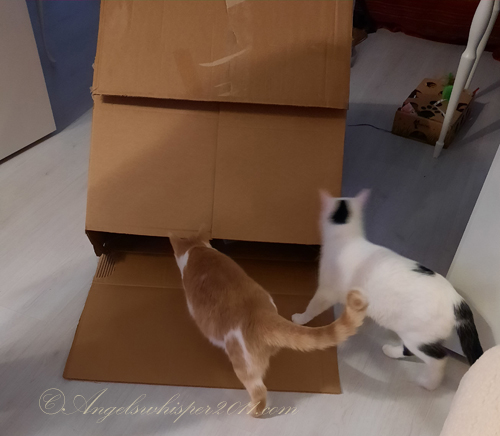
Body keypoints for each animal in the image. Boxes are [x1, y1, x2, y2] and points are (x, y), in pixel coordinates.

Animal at [292, 189, 483, 391]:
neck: (347, 239)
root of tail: (457, 301)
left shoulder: (326, 291)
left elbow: (312, 308)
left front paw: (300, 319)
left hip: (417, 337)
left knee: (439, 359)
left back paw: (429, 383)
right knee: (410, 351)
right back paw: (391, 351)